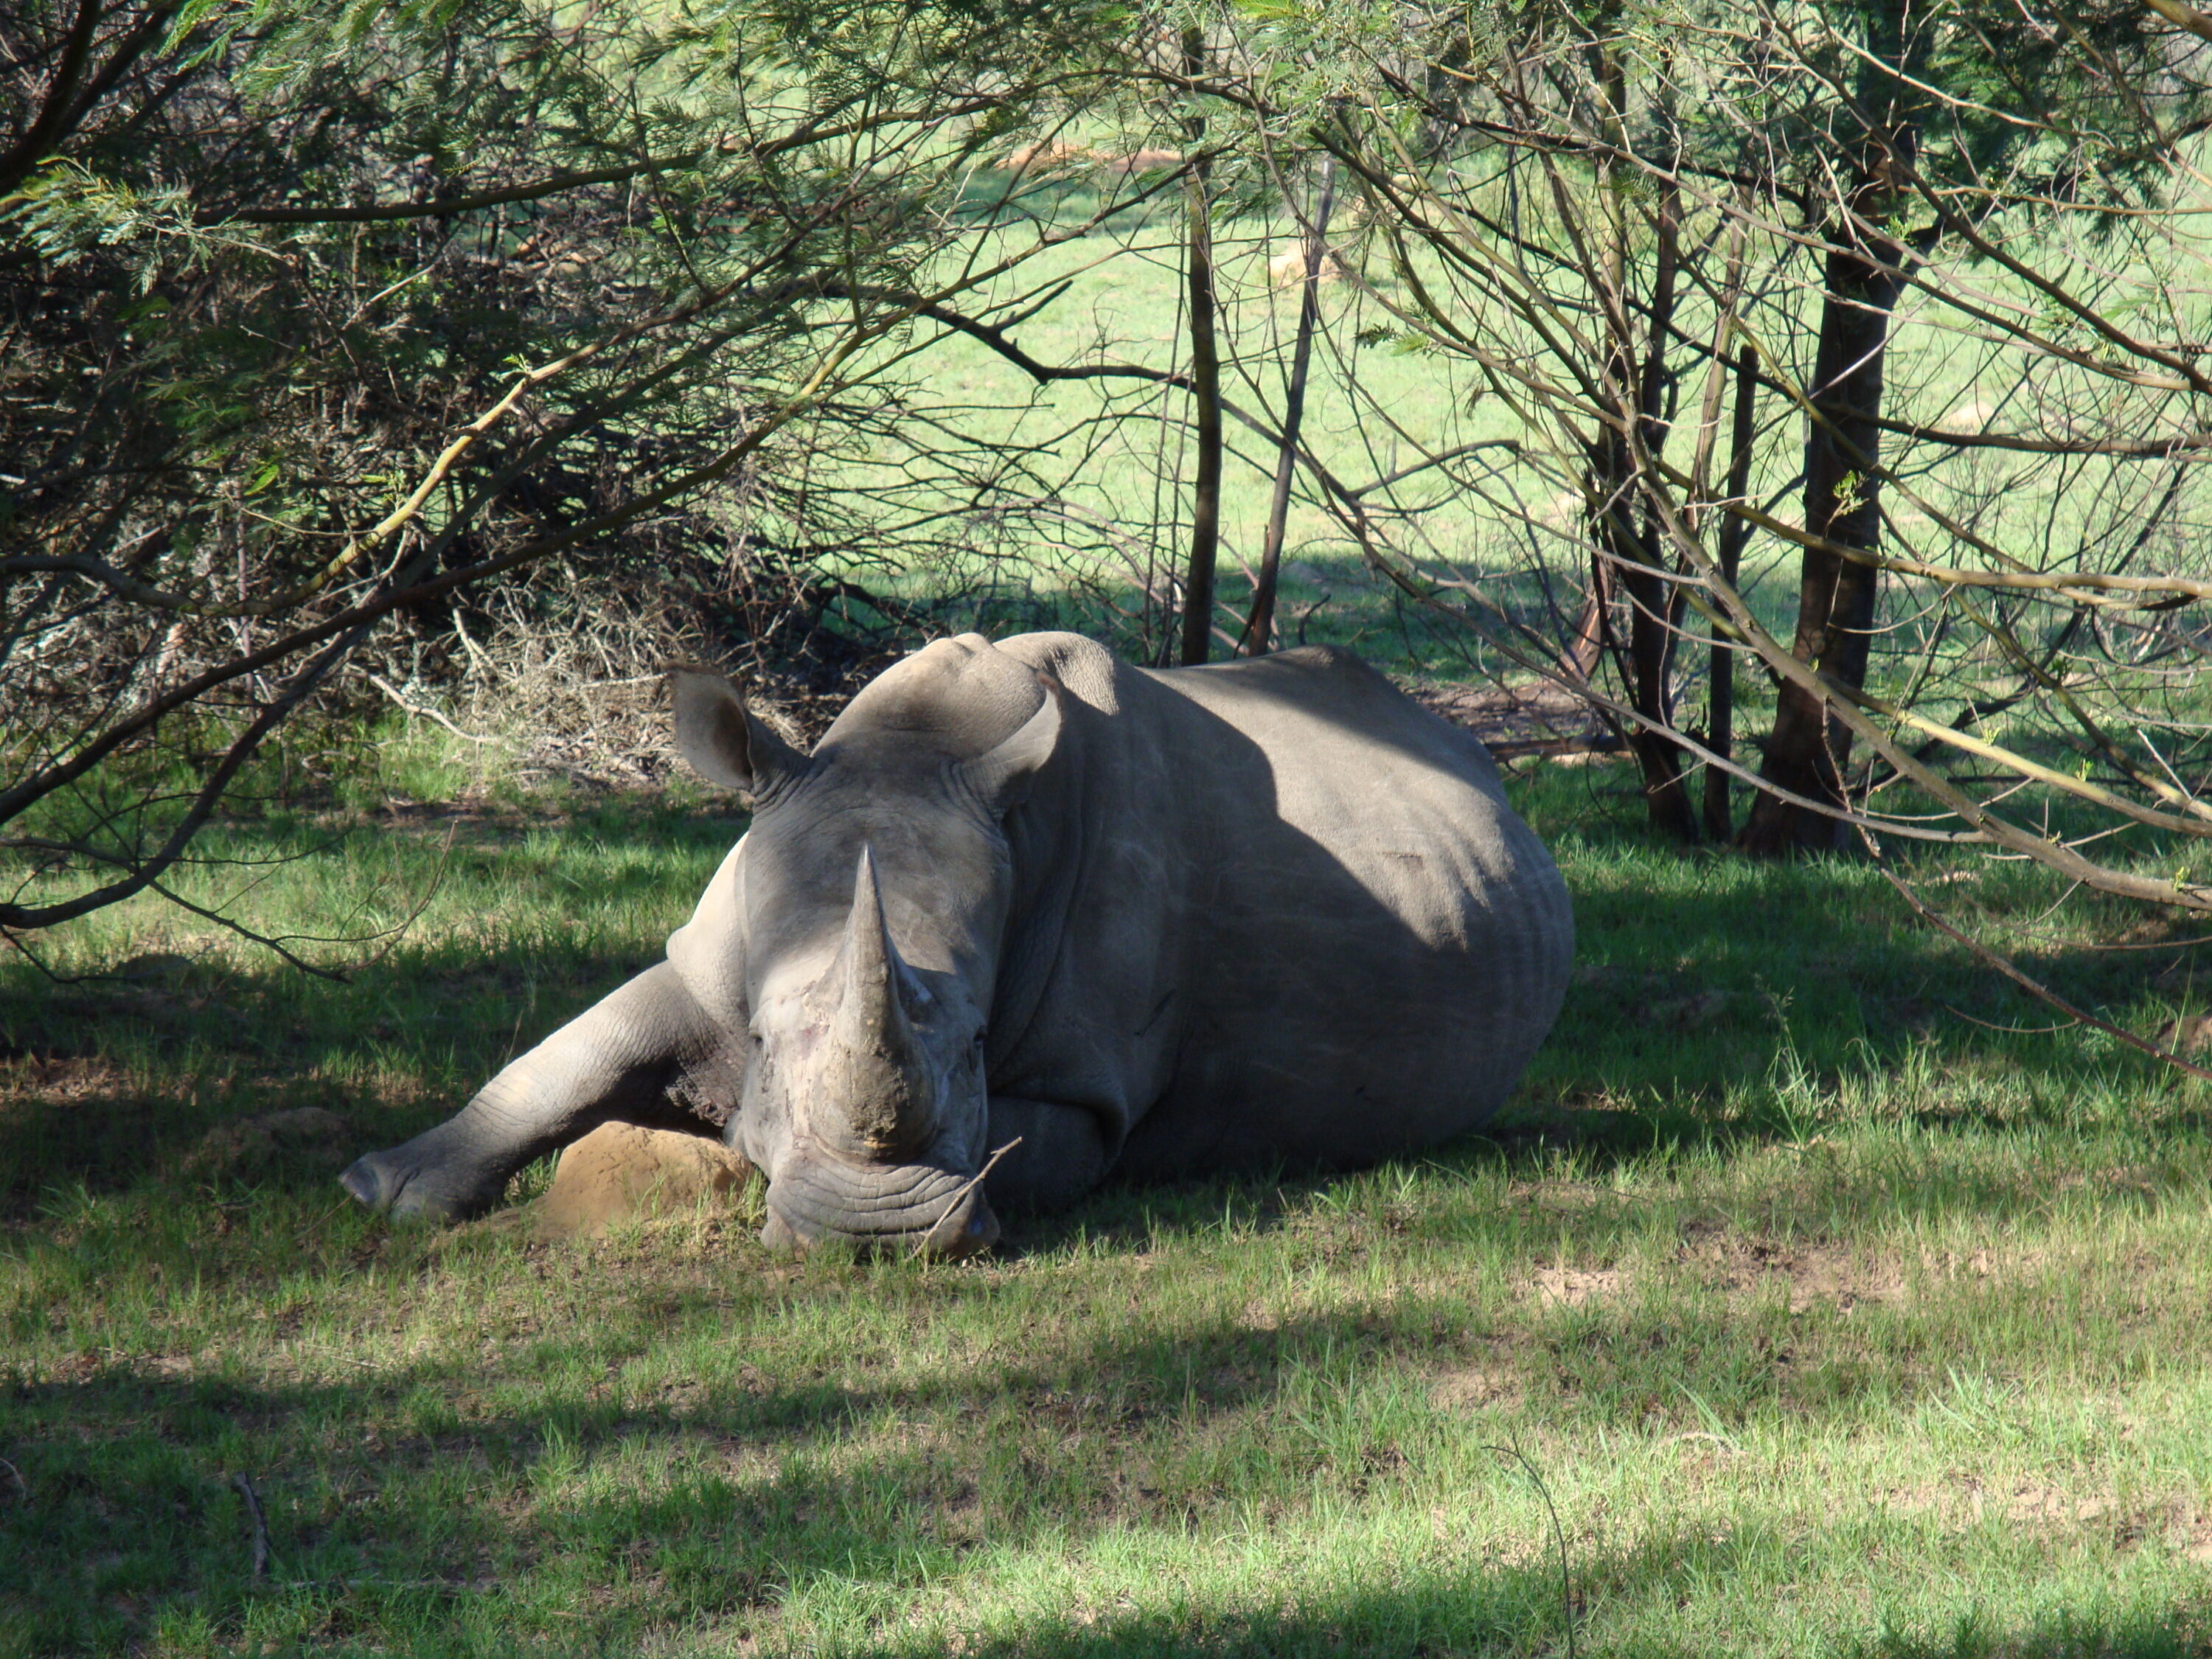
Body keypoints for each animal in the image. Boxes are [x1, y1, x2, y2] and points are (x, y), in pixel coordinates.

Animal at [340, 632, 1572, 1254]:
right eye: (765, 1038)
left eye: (979, 1046)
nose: (873, 1232)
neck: (912, 750)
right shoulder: (712, 948)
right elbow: (571, 1050)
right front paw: (384, 1188)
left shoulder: (1089, 1086)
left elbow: (1020, 1143)